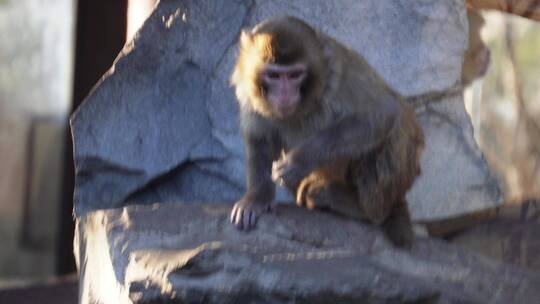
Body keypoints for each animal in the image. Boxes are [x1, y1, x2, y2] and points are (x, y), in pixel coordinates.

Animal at [230, 16, 424, 247]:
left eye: (295, 75)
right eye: (274, 75)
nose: (285, 94)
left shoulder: (339, 76)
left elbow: (381, 112)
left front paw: (299, 161)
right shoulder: (248, 91)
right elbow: (260, 137)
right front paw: (257, 197)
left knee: (393, 133)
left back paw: (359, 208)